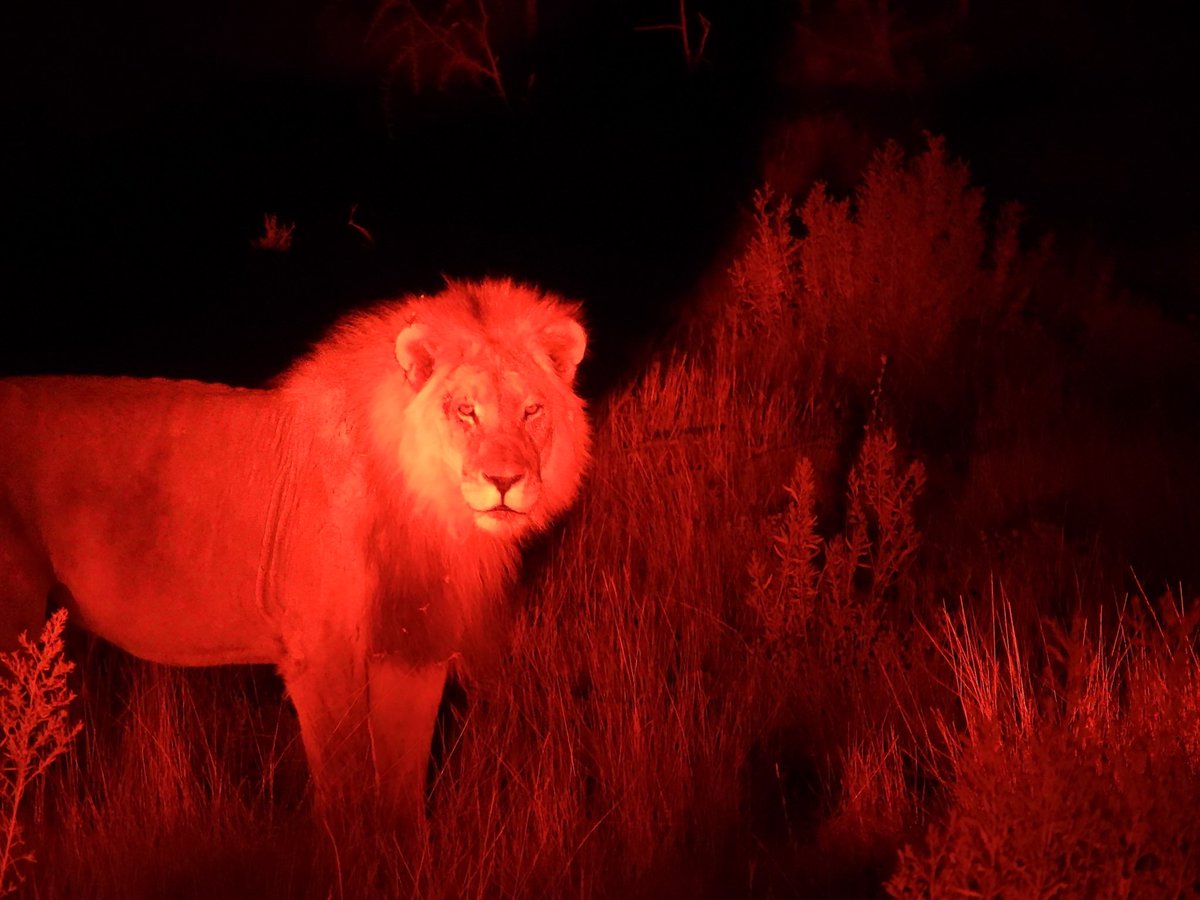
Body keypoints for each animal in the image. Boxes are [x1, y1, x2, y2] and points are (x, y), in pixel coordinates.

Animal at [0, 278, 590, 818]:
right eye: (466, 410)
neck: (432, 512)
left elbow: (402, 794)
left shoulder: (413, 652)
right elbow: (349, 791)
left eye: (532, 411)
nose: (504, 481)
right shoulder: (322, 655)